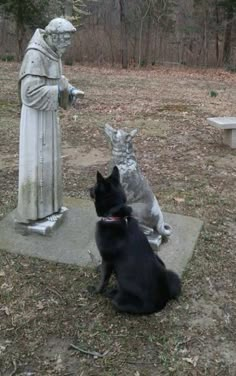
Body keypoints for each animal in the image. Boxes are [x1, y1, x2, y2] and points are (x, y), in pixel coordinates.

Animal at [89, 167, 182, 314]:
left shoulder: (107, 260)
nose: (88, 189)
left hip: (118, 302)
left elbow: (103, 280)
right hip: (171, 274)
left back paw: (112, 292)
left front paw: (95, 290)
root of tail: (162, 302)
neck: (116, 217)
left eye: (94, 186)